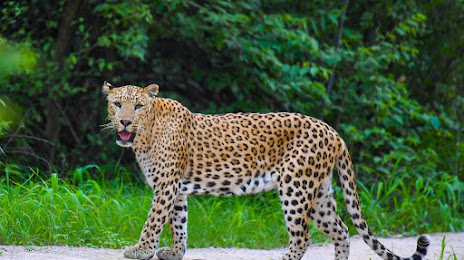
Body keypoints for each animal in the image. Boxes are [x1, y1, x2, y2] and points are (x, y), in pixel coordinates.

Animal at [102, 82, 432, 260]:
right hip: (321, 194)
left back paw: (285, 258)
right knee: (341, 229)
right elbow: (178, 224)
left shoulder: (166, 186)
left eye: (138, 106)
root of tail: (332, 130)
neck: (146, 133)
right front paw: (175, 252)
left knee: (303, 236)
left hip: (295, 187)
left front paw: (140, 249)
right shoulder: (177, 189)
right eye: (117, 104)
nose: (125, 122)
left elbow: (153, 221)